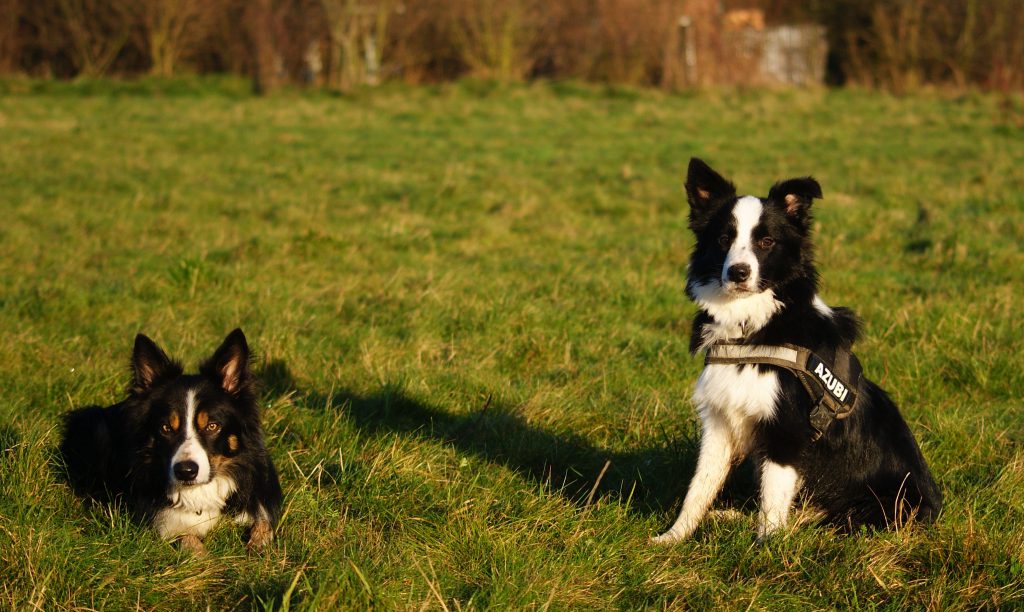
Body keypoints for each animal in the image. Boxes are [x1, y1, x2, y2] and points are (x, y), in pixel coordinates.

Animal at [59, 331, 284, 556]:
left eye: (212, 426)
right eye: (166, 428)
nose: (186, 471)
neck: (200, 491)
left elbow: (263, 524)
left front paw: (258, 547)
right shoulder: (163, 523)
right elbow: (188, 538)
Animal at [655, 160, 942, 544]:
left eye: (766, 241)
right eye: (724, 239)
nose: (738, 273)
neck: (752, 325)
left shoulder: (788, 428)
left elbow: (772, 502)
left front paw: (764, 548)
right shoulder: (719, 420)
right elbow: (700, 486)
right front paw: (673, 537)